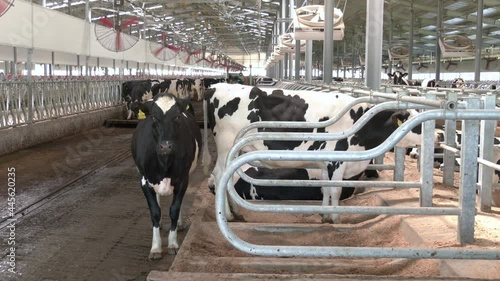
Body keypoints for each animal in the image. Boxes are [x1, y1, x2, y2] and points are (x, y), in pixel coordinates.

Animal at [203, 82, 438, 223]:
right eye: (415, 122)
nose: (436, 136)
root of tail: (216, 86)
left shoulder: (325, 163)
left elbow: (325, 189)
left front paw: (325, 216)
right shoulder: (337, 160)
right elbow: (335, 191)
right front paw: (335, 219)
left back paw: (235, 212)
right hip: (226, 147)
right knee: (220, 176)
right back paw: (227, 215)